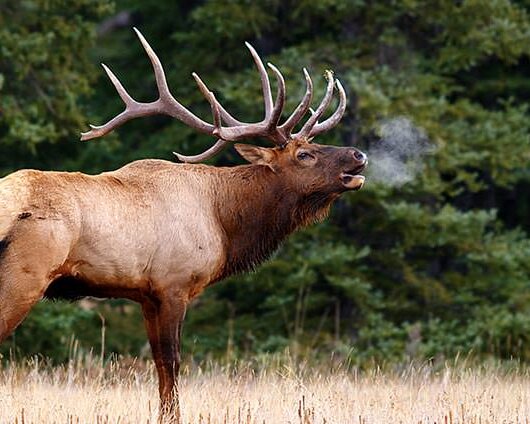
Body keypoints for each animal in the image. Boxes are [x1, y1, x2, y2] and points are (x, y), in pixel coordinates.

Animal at [0, 29, 364, 420]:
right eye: (304, 154)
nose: (358, 154)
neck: (224, 221)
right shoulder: (174, 283)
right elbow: (172, 361)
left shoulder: (146, 294)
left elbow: (159, 363)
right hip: (25, 275)